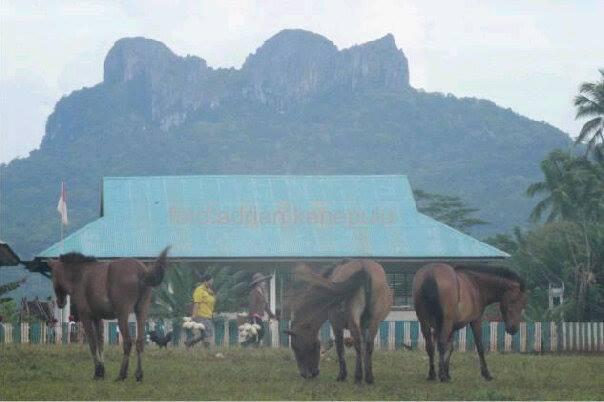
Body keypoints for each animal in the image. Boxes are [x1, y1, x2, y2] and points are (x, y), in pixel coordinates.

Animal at [47, 247, 169, 382]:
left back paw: (122, 374)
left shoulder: (86, 316)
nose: (60, 303)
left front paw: (97, 371)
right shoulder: (97, 318)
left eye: (53, 275)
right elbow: (100, 343)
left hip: (122, 314)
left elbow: (93, 344)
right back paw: (138, 374)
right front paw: (102, 371)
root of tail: (142, 271)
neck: (80, 275)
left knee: (127, 342)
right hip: (141, 310)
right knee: (140, 341)